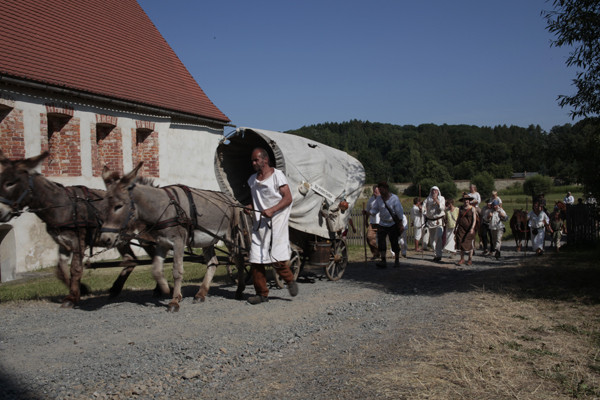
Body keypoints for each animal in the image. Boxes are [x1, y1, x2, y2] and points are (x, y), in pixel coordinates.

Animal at [0, 151, 154, 307]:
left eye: (10, 183)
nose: (1, 212)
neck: (62, 206)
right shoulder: (63, 243)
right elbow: (60, 270)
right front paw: (82, 289)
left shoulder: (78, 242)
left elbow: (75, 268)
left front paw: (72, 298)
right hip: (120, 239)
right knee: (131, 260)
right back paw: (116, 289)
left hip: (145, 238)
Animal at [99, 163, 248, 312]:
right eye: (103, 206)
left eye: (118, 206)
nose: (105, 239)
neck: (163, 209)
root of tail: (231, 199)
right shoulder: (162, 243)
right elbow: (156, 270)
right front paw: (165, 289)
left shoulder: (178, 242)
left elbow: (177, 271)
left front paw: (174, 301)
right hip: (208, 241)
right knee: (213, 263)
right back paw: (201, 294)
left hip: (230, 237)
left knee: (239, 259)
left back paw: (239, 289)